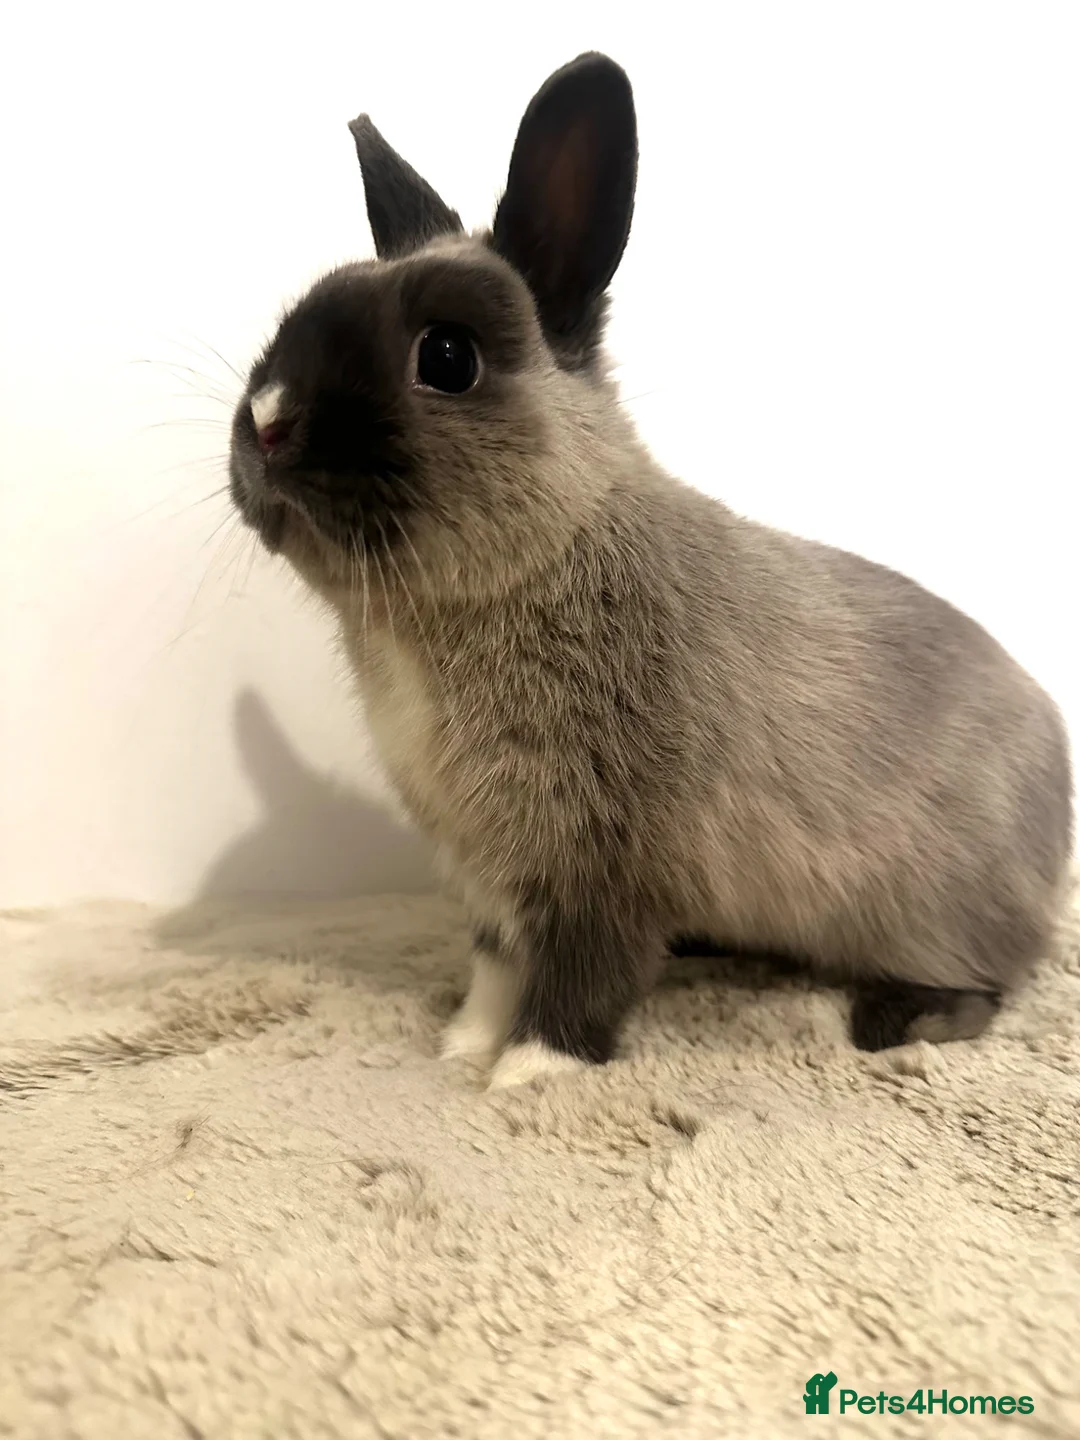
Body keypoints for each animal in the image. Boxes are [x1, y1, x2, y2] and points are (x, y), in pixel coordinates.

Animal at [228, 52, 1073, 1088]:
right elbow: (496, 970)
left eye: (449, 357)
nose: (268, 419)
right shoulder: (491, 877)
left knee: (991, 985)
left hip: (936, 916)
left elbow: (582, 981)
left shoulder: (608, 869)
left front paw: (525, 1077)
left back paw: (895, 1021)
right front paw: (461, 1049)